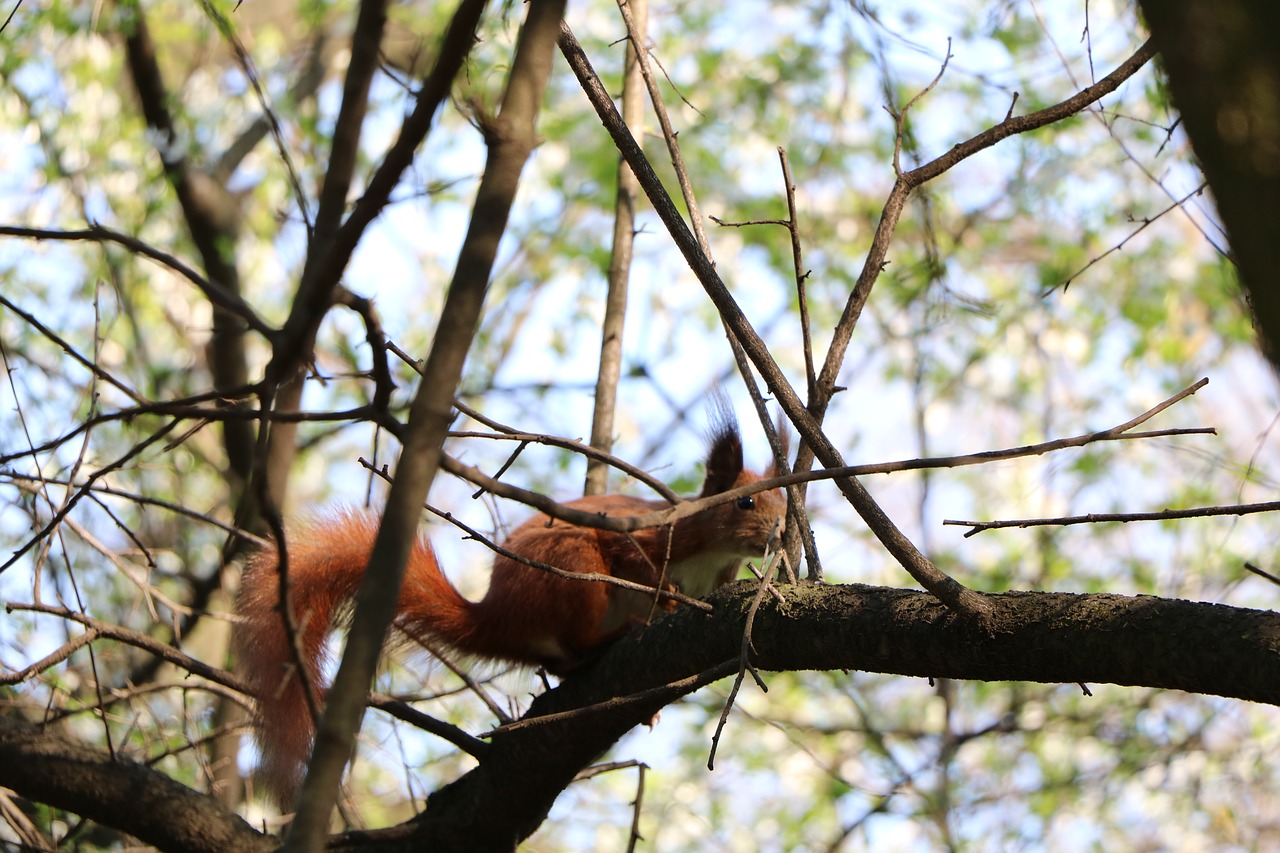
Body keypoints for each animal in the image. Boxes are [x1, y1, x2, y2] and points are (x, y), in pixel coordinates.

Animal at [234, 422, 783, 799]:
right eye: (745, 503)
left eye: (785, 498)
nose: (780, 533)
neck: (710, 555)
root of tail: (499, 618)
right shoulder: (641, 536)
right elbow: (635, 564)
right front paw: (665, 595)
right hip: (571, 569)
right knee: (574, 646)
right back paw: (611, 637)